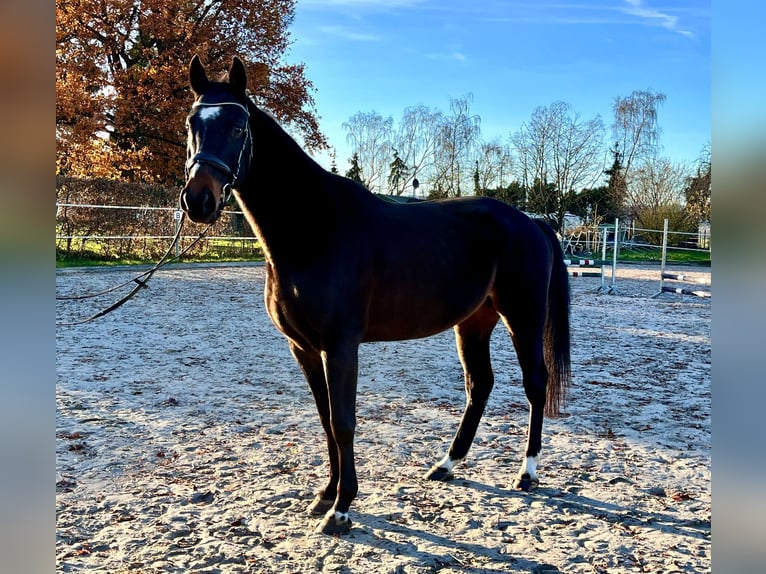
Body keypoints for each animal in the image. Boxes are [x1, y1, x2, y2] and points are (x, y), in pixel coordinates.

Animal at [183, 56, 572, 536]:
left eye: (238, 128)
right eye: (191, 123)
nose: (198, 200)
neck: (313, 228)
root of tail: (531, 221)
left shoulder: (340, 345)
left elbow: (343, 423)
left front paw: (342, 508)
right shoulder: (304, 348)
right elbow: (326, 420)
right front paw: (325, 494)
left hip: (524, 316)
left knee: (535, 384)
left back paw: (527, 473)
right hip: (473, 323)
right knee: (480, 385)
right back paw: (446, 465)